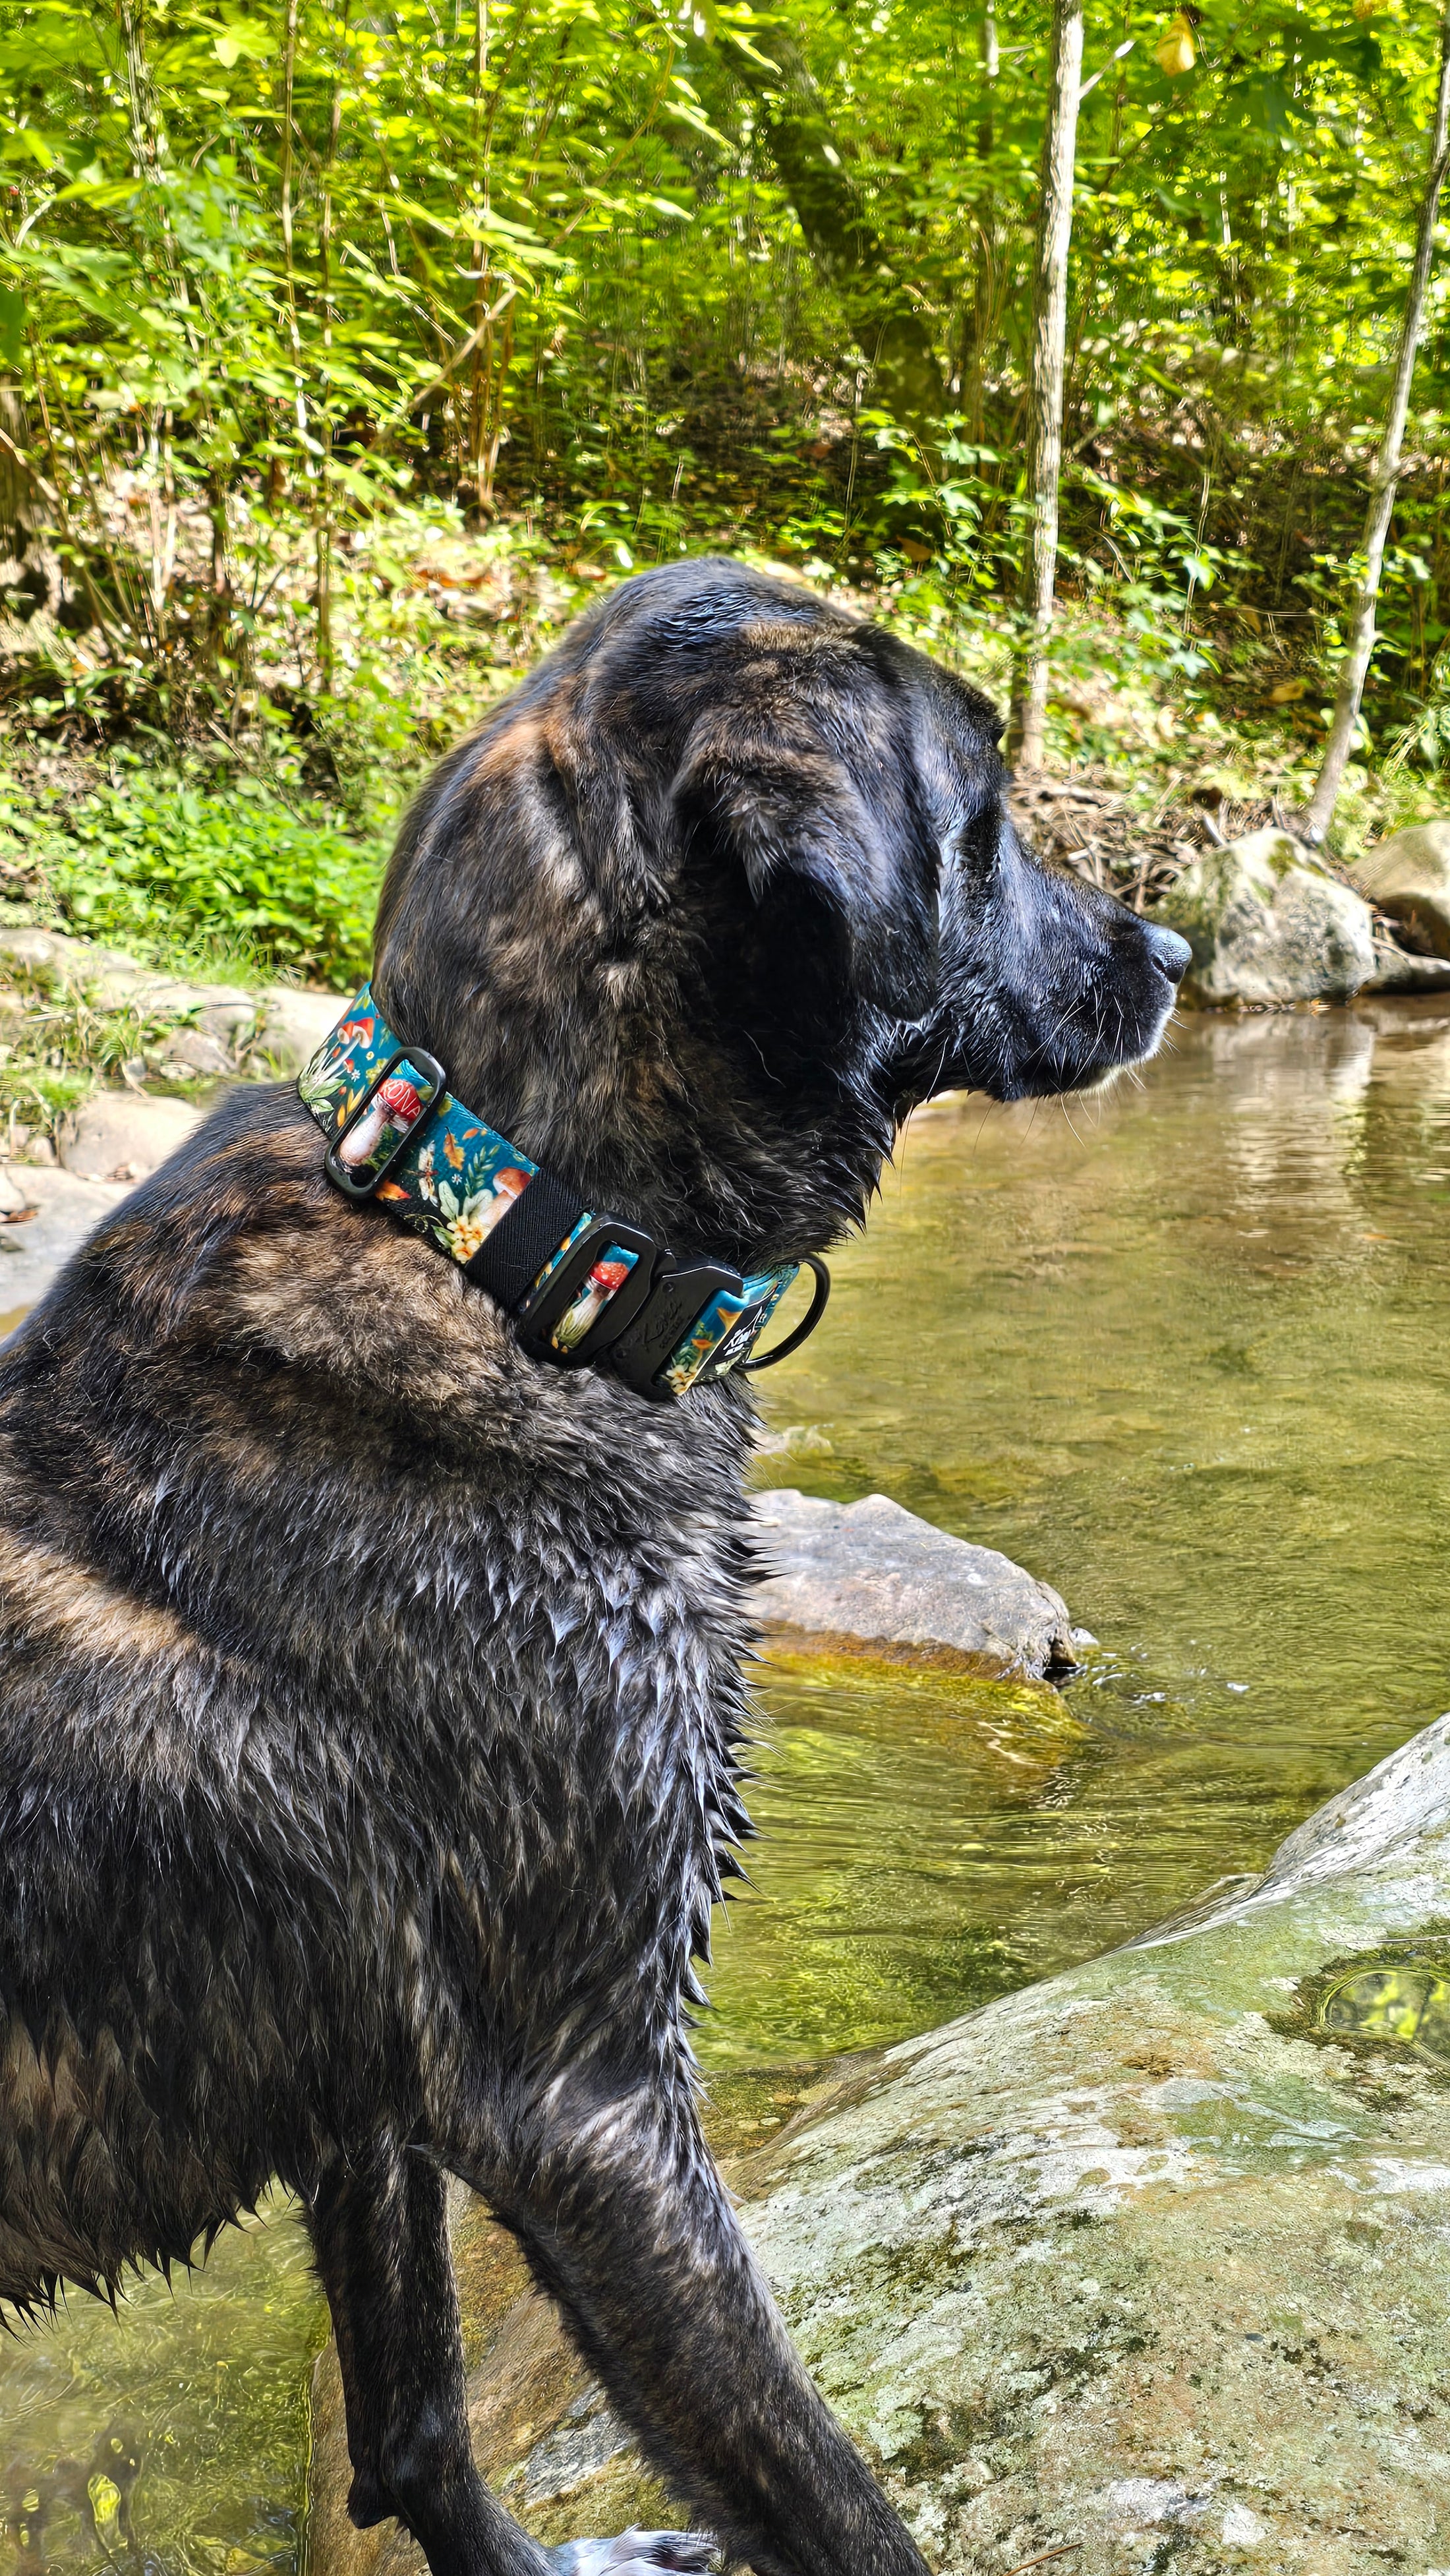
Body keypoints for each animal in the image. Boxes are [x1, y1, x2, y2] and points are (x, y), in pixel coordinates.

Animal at [0, 564, 1190, 2576]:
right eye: (988, 819)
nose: (1179, 950)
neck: (494, 1233)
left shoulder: (385, 2085)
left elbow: (412, 2418)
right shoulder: (593, 2106)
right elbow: (826, 2496)